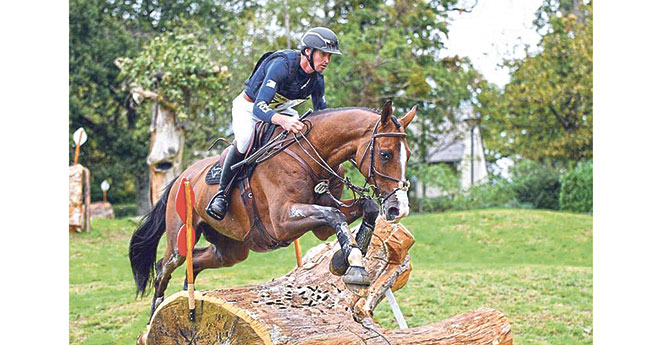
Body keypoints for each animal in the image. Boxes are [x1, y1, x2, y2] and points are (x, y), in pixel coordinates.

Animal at [129, 99, 418, 320]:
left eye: (409, 154)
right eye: (385, 154)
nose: (399, 209)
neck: (310, 156)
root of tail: (180, 178)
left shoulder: (322, 226)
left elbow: (365, 209)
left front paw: (342, 261)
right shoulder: (283, 221)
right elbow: (335, 215)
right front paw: (354, 266)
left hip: (231, 250)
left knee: (199, 261)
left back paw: (189, 301)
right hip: (181, 239)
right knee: (163, 269)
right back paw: (154, 318)